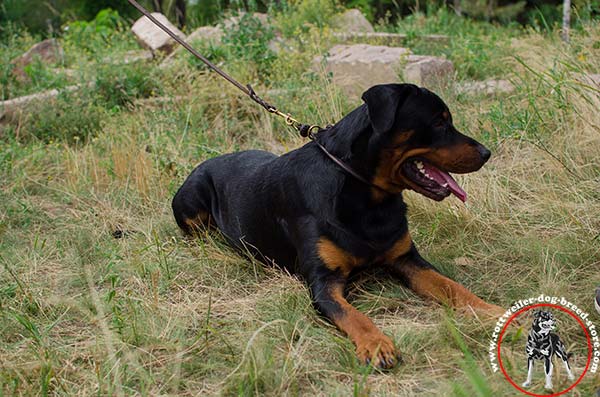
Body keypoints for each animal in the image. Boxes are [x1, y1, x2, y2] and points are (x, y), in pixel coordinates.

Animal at [171, 83, 504, 368]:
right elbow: (354, 316)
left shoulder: (406, 258)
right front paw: (377, 345)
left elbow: (453, 287)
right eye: (438, 123)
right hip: (191, 201)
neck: (368, 199)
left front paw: (494, 313)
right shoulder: (323, 282)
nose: (487, 153)